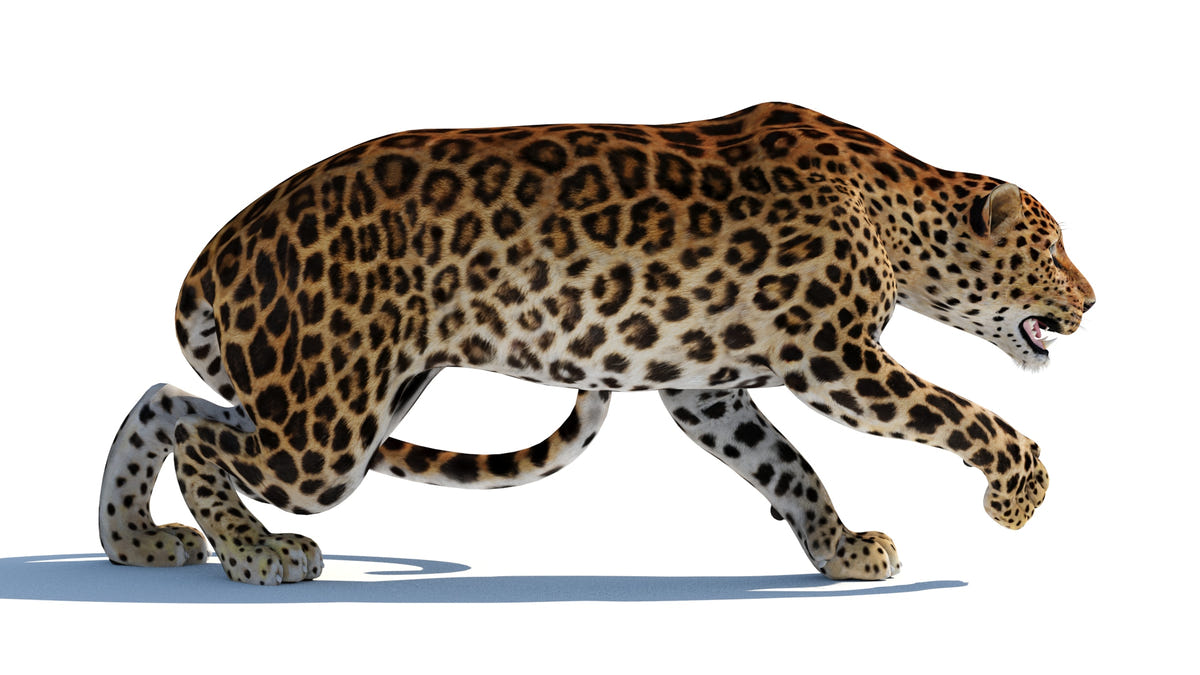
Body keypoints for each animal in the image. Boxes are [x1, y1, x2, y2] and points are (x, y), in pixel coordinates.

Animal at [98, 102, 1094, 585]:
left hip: (345, 398)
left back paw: (133, 539)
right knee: (200, 435)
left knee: (163, 401)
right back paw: (254, 552)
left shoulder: (707, 388)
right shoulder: (837, 358)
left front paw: (839, 550)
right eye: (1051, 250)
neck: (901, 213)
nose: (1092, 300)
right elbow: (967, 415)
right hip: (328, 434)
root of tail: (225, 243)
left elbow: (787, 466)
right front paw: (1018, 494)